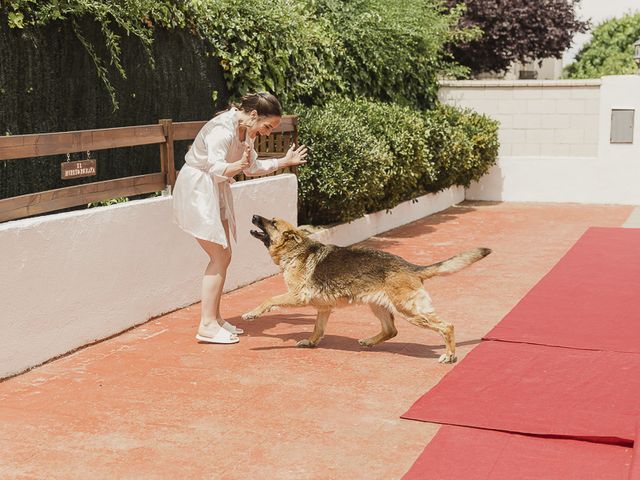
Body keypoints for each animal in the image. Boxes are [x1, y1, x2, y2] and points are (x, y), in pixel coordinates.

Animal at [244, 216, 490, 362]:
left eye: (272, 223)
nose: (254, 216)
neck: (295, 250)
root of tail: (411, 267)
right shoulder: (324, 309)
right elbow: (317, 329)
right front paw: (311, 343)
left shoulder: (297, 296)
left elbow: (268, 300)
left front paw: (251, 314)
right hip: (378, 305)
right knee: (391, 330)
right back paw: (370, 341)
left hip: (409, 310)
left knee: (447, 326)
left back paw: (449, 355)